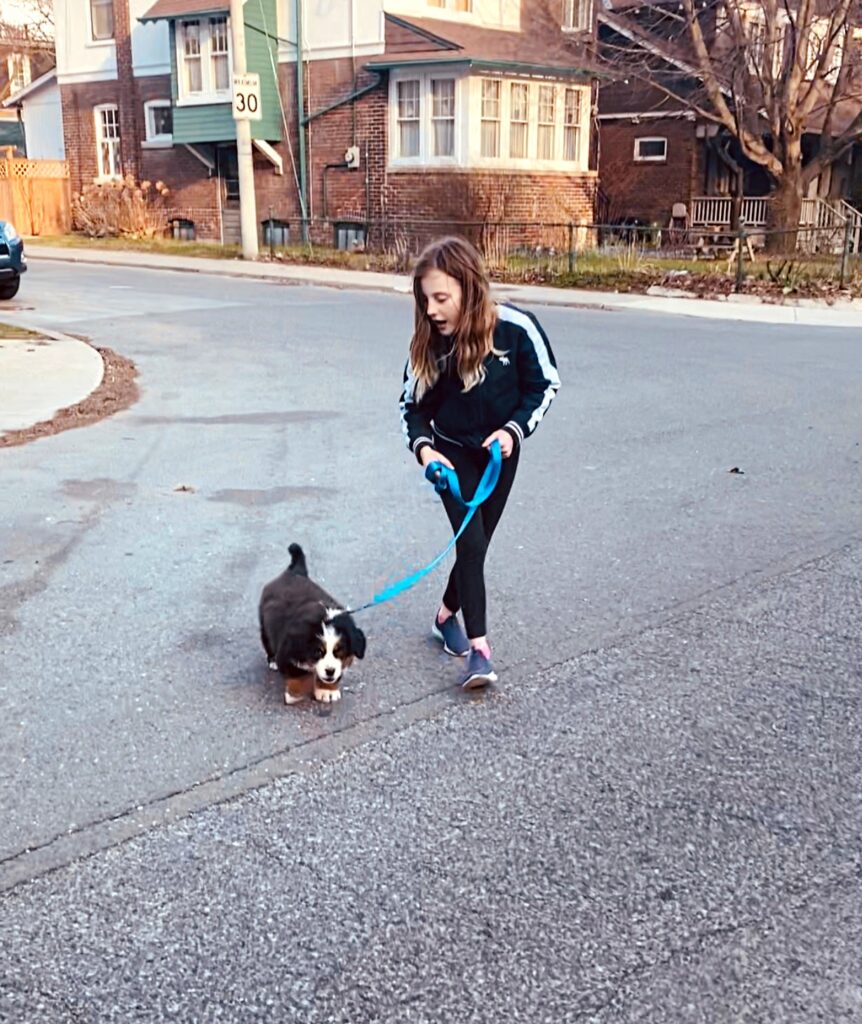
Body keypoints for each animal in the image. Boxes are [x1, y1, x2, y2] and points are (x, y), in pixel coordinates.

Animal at [254, 544, 362, 704]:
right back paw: (272, 661)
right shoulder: (287, 653)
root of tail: (294, 572)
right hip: (265, 627)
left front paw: (327, 691)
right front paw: (295, 695)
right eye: (318, 651)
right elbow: (299, 675)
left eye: (339, 651)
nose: (330, 671)